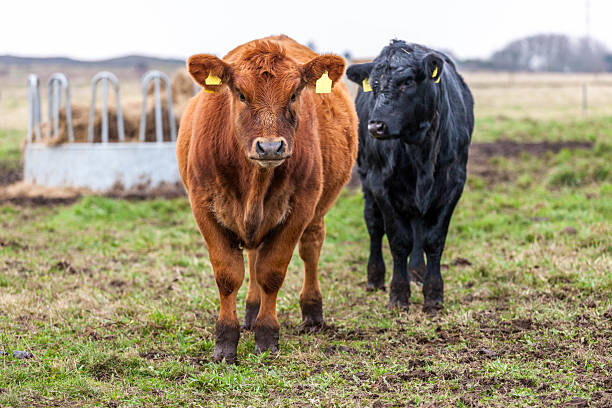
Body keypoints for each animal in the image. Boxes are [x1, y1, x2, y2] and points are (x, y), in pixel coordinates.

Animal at [177, 33, 358, 362]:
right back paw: (250, 311)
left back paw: (312, 312)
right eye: (241, 94)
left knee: (310, 249)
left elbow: (271, 272)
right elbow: (228, 274)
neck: (254, 183)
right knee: (252, 256)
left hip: (318, 210)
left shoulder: (300, 208)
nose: (271, 147)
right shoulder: (203, 207)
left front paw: (266, 336)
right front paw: (226, 340)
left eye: (295, 94)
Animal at [350, 40, 474, 312]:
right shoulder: (381, 185)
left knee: (418, 224)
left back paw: (417, 272)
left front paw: (434, 294)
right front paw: (398, 294)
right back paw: (375, 278)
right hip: (366, 180)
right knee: (374, 226)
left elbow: (433, 239)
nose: (375, 125)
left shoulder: (453, 184)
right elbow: (399, 240)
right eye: (374, 85)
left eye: (407, 82)